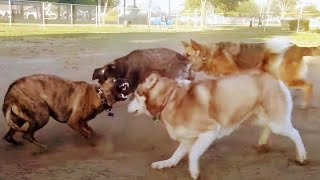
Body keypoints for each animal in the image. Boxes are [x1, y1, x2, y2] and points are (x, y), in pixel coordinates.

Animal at [2, 73, 130, 152]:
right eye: (114, 79)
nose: (127, 78)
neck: (100, 94)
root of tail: (10, 95)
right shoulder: (73, 122)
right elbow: (87, 134)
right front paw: (94, 144)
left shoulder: (83, 122)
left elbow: (90, 130)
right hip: (42, 115)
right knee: (27, 135)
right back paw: (43, 147)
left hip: (19, 119)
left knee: (8, 136)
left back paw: (18, 144)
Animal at [127, 72, 308, 179]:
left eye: (135, 94)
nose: (126, 106)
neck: (169, 98)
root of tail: (276, 79)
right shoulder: (187, 139)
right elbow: (176, 154)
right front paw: (166, 163)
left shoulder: (210, 131)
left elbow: (193, 153)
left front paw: (194, 172)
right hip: (260, 119)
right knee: (267, 127)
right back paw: (262, 143)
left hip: (278, 123)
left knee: (295, 133)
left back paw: (301, 156)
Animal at [182, 38, 320, 107]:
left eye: (187, 55)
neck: (209, 55)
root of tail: (298, 47)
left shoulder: (233, 74)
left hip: (287, 77)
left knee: (309, 85)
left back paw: (304, 104)